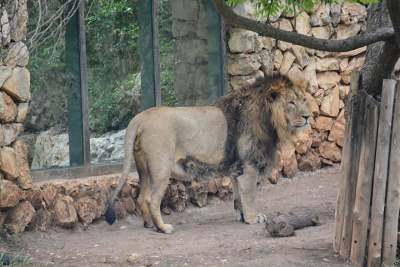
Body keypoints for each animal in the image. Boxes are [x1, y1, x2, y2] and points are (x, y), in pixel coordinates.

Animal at [104, 74, 310, 233]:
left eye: (303, 100)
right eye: (291, 102)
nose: (308, 116)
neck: (270, 120)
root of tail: (141, 117)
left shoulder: (237, 170)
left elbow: (238, 197)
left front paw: (242, 216)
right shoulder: (249, 168)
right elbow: (250, 195)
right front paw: (253, 218)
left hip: (144, 169)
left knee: (140, 198)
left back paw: (148, 225)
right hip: (161, 168)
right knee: (151, 200)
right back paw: (163, 228)